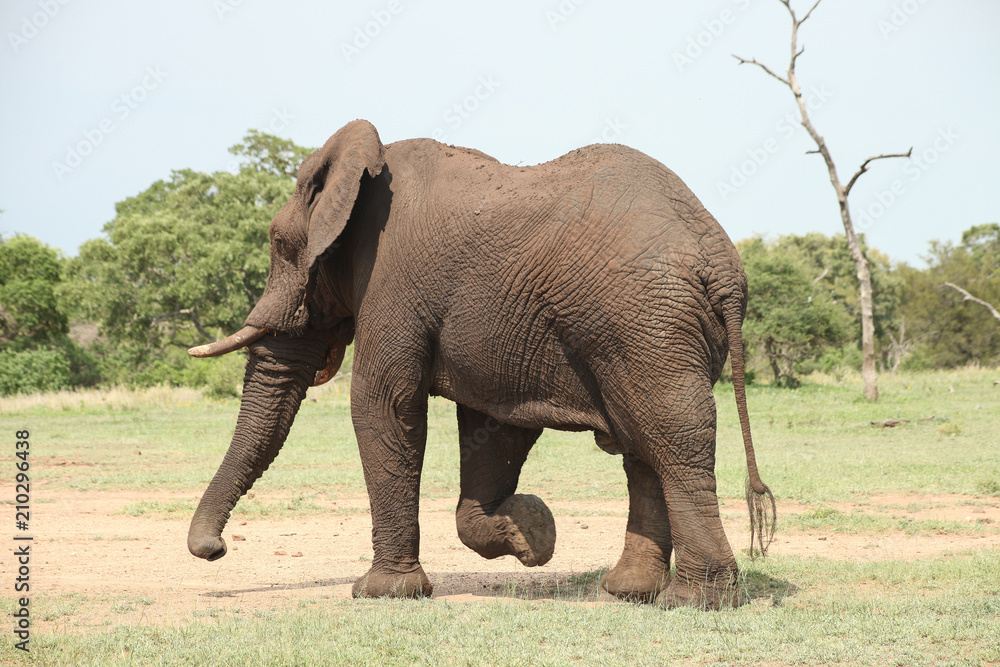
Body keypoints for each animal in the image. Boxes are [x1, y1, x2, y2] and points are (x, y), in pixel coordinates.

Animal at [186, 119, 775, 610]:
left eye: (278, 243)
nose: (214, 549)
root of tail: (722, 265)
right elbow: (495, 427)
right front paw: (532, 533)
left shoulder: (392, 278)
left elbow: (383, 405)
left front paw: (381, 594)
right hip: (651, 330)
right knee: (642, 443)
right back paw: (628, 592)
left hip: (645, 321)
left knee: (671, 435)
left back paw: (696, 600)